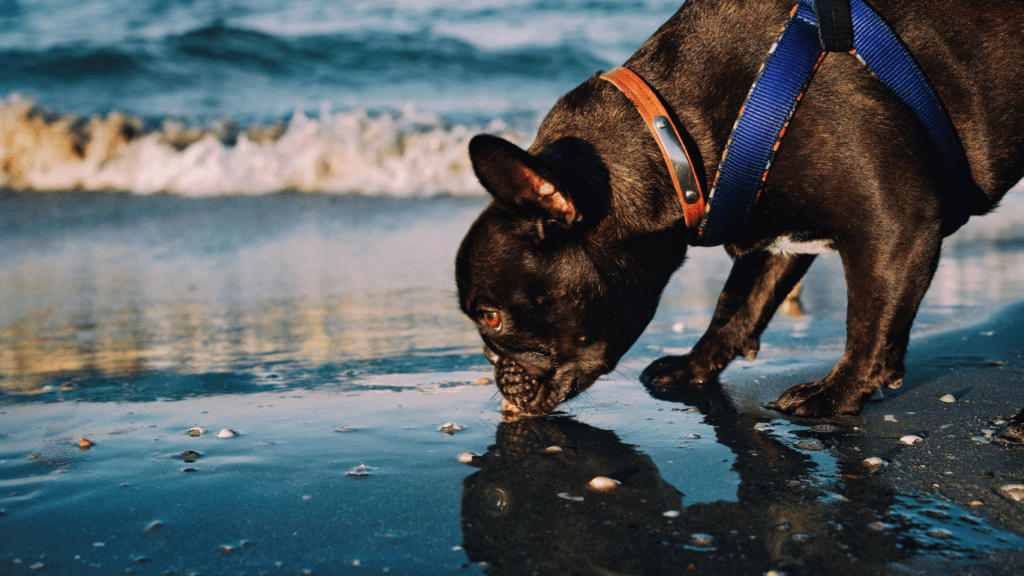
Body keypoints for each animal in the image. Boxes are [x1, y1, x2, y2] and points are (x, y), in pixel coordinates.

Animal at [456, 0, 1024, 426]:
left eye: (491, 317)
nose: (492, 367)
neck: (675, 137)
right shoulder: (770, 233)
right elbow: (737, 305)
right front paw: (694, 365)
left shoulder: (897, 226)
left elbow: (868, 321)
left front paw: (836, 392)